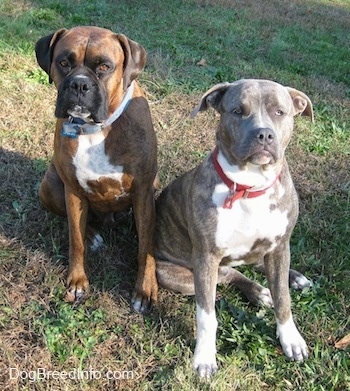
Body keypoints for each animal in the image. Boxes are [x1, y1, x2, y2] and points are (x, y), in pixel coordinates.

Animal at [34, 26, 158, 312]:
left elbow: (146, 247)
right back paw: (92, 235)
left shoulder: (144, 192)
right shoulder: (73, 192)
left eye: (104, 66)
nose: (79, 84)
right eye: (64, 62)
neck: (95, 129)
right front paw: (77, 281)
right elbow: (75, 240)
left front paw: (144, 289)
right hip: (49, 186)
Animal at [154, 79, 314, 380]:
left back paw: (293, 278)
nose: (264, 135)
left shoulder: (280, 246)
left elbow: (283, 300)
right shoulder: (207, 257)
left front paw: (291, 339)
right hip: (174, 274)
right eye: (238, 111)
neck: (249, 186)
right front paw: (204, 358)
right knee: (230, 275)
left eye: (280, 112)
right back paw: (259, 291)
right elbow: (207, 316)